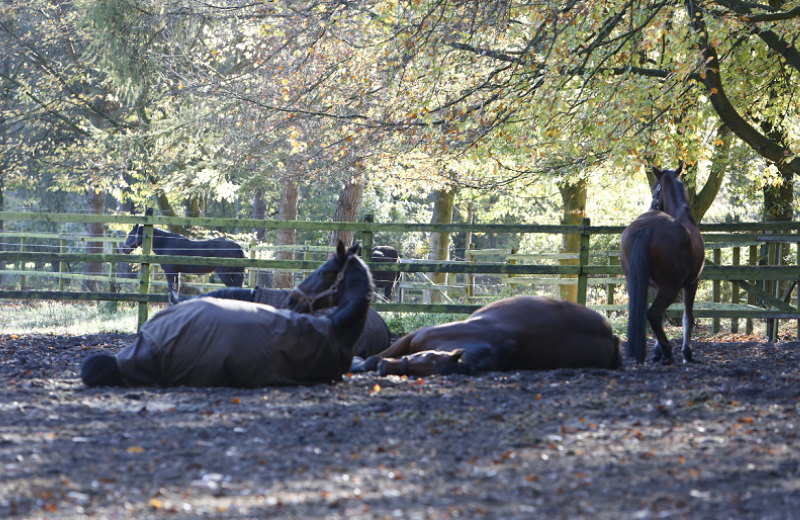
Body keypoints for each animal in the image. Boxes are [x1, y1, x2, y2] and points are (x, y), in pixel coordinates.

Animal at [350, 296, 622, 377]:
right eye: (424, 357)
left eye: (428, 367)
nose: (387, 369)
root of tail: (612, 338)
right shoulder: (411, 338)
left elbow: (374, 358)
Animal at [620, 164, 705, 365]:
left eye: (654, 189)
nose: (652, 205)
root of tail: (646, 228)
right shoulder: (692, 283)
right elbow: (687, 318)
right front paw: (687, 353)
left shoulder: (655, 287)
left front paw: (656, 353)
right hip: (671, 288)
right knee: (654, 313)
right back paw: (668, 353)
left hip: (637, 282)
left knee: (646, 314)